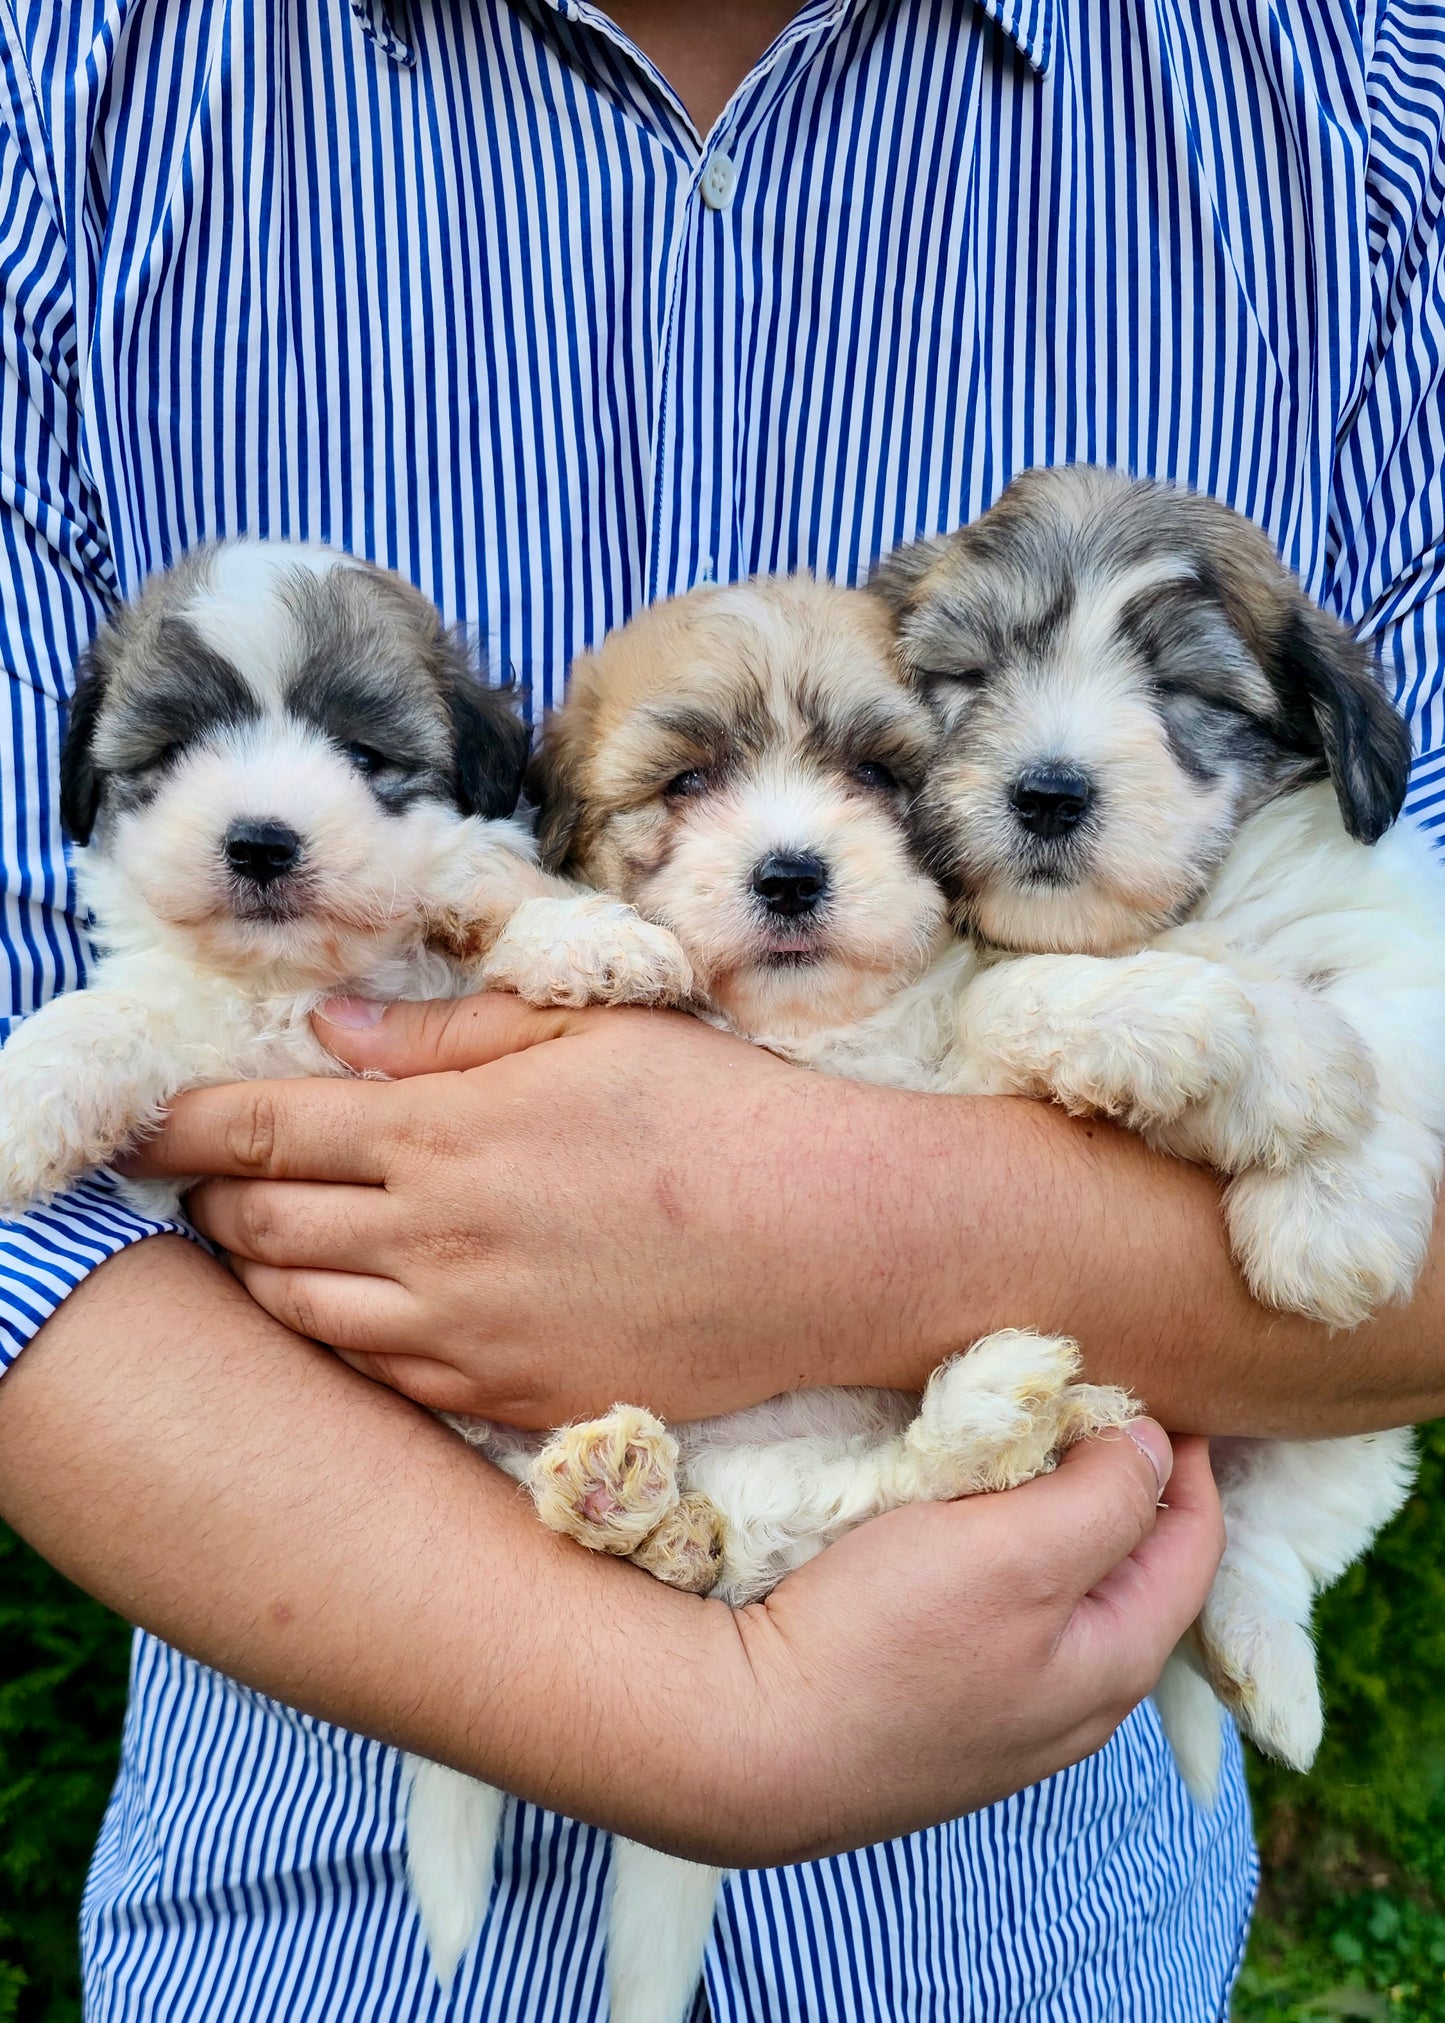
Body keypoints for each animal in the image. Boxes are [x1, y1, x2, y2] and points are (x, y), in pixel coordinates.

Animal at [398, 566, 1133, 2023]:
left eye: (874, 772)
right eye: (685, 781)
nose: (791, 872)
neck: (802, 1029)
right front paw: (585, 942)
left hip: (828, 1485)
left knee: (872, 1493)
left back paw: (993, 1416)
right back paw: (627, 1498)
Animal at [874, 469, 1440, 1804]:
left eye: (1186, 691)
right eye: (966, 673)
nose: (1046, 790)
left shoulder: (1396, 936)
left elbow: (1375, 1030)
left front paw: (1325, 1217)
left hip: (1344, 1435)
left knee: (1271, 1543)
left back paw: (1264, 1665)